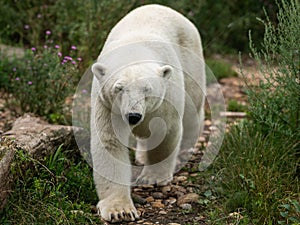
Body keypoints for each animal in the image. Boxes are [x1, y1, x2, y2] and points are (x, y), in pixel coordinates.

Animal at [90, 4, 205, 222]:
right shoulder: (108, 106)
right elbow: (110, 142)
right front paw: (120, 210)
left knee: (192, 108)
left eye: (147, 89)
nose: (133, 116)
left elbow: (164, 131)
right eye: (119, 88)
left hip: (191, 58)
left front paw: (153, 178)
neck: (134, 49)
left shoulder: (166, 96)